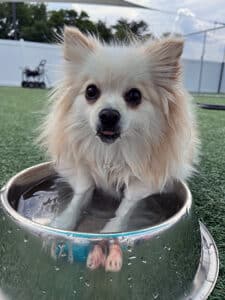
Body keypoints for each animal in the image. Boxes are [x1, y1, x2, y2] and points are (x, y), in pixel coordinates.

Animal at [39, 27, 198, 233]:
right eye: (91, 91)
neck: (111, 153)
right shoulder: (80, 168)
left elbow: (126, 207)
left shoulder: (146, 181)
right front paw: (64, 222)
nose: (108, 115)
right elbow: (82, 193)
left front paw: (112, 231)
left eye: (134, 96)